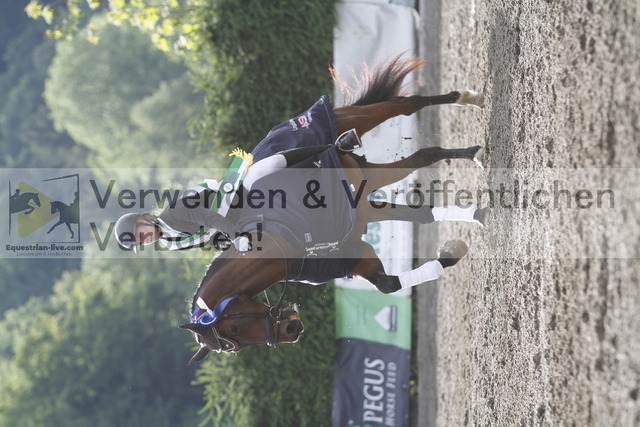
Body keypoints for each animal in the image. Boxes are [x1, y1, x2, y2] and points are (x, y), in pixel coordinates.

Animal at [179, 56, 486, 364]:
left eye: (232, 331)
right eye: (233, 346)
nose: (291, 330)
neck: (285, 242)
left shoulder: (365, 200)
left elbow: (423, 199)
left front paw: (477, 209)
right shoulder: (356, 247)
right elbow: (389, 283)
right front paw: (454, 249)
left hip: (354, 120)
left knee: (404, 105)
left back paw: (468, 102)